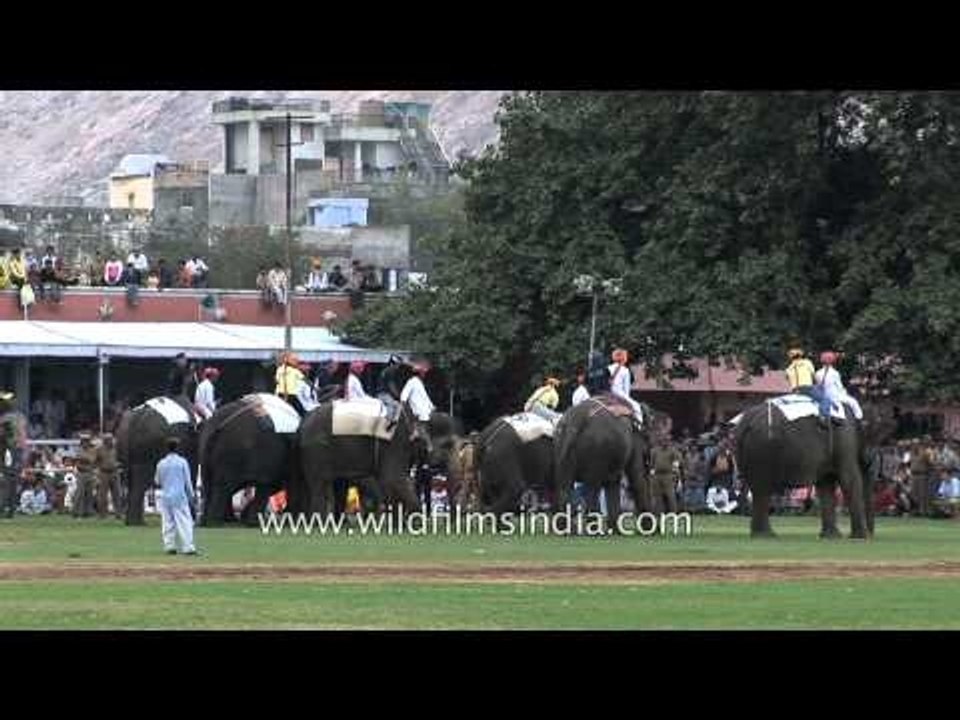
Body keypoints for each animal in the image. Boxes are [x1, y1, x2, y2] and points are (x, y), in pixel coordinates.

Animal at [116, 395, 199, 526]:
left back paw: (134, 522)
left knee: (132, 481)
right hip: (146, 445)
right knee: (140, 480)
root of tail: (136, 418)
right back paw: (137, 523)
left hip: (125, 443)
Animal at [198, 395, 299, 527]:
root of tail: (219, 425)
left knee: (210, 484)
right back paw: (217, 522)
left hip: (206, 448)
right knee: (225, 486)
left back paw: (213, 521)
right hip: (238, 449)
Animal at [553, 394, 651, 527]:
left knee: (564, 488)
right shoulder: (635, 440)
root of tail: (576, 420)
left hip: (561, 446)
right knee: (592, 489)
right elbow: (636, 478)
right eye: (648, 438)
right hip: (596, 450)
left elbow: (613, 483)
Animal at [733, 399, 875, 539]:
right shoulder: (845, 440)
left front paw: (831, 537)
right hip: (762, 451)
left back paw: (761, 535)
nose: (871, 534)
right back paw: (766, 536)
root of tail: (746, 422)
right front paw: (860, 538)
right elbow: (849, 480)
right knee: (763, 490)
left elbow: (826, 484)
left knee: (757, 490)